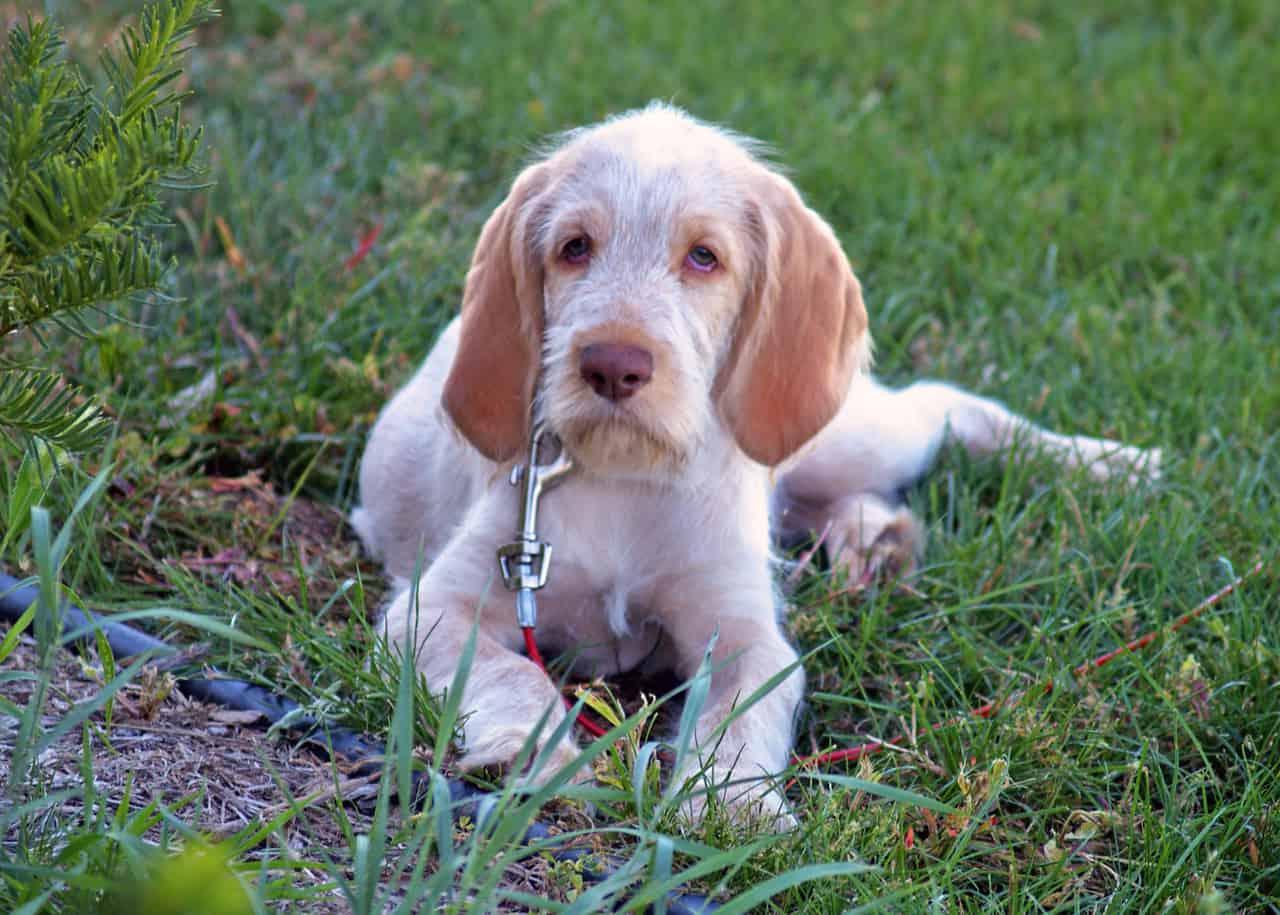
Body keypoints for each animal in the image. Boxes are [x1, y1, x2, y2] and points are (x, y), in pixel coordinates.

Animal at [353, 103, 1162, 829]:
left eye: (703, 257)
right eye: (575, 247)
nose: (612, 364)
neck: (629, 480)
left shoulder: (748, 636)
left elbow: (742, 713)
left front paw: (734, 803)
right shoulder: (430, 610)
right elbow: (513, 670)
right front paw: (541, 751)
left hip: (845, 434)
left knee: (948, 406)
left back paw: (1115, 464)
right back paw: (878, 541)